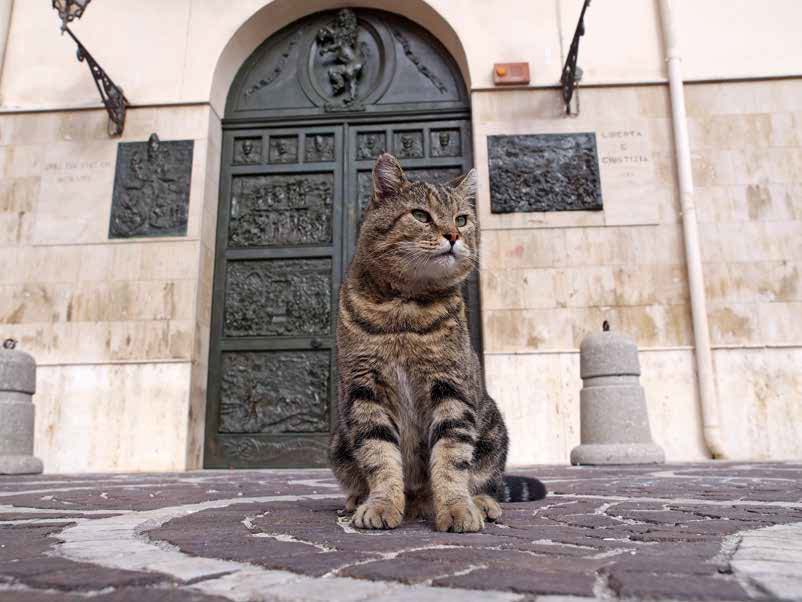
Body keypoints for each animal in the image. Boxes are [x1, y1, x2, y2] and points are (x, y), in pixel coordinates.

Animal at [328, 151, 548, 528]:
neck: (405, 307)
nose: (452, 235)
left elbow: (451, 458)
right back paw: (358, 498)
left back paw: (482, 502)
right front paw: (381, 504)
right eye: (420, 215)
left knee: (485, 478)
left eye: (462, 219)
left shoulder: (451, 388)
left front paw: (458, 508)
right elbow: (379, 455)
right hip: (338, 440)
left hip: (493, 427)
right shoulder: (364, 391)